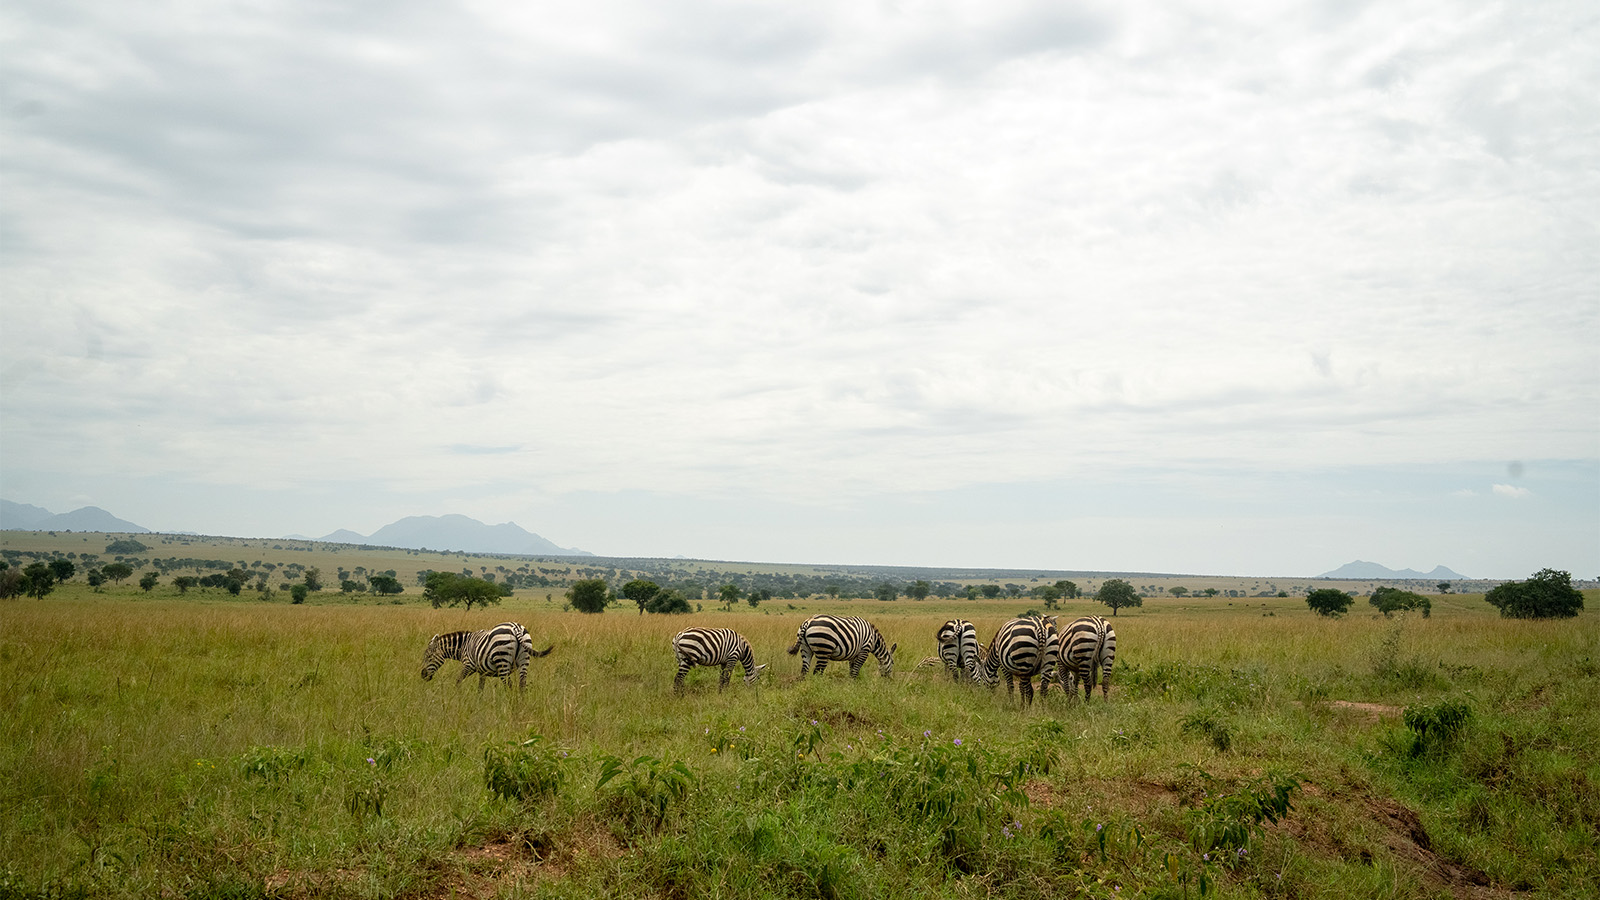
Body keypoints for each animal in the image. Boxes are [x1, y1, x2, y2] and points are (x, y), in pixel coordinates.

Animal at [419, 621, 556, 688]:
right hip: (524, 660)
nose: (423, 675)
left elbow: (458, 680)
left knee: (509, 685)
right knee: (522, 684)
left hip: (502, 661)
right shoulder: (482, 671)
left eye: (428, 657)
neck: (463, 646)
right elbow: (480, 687)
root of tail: (516, 628)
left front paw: (456, 695)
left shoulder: (468, 665)